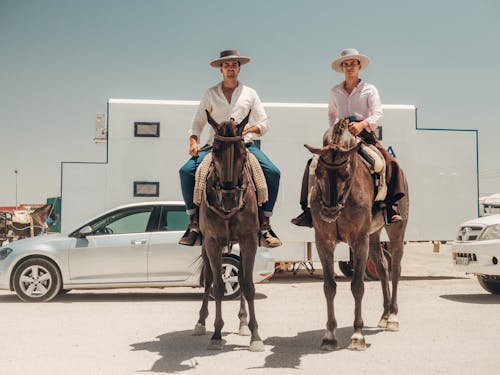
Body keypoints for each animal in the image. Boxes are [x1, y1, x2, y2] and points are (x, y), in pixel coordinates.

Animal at [191, 111, 266, 352]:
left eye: (243, 151)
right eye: (214, 150)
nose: (230, 198)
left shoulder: (249, 241)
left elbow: (248, 285)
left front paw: (255, 336)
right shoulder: (212, 242)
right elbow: (217, 286)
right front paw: (216, 334)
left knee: (241, 277)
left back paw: (242, 323)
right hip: (205, 245)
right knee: (207, 281)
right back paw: (200, 322)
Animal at [306, 119, 408, 352]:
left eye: (346, 173)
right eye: (319, 173)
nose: (329, 212)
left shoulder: (359, 240)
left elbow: (357, 286)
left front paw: (357, 335)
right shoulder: (323, 242)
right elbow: (329, 287)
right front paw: (329, 335)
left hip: (396, 231)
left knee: (395, 269)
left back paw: (393, 317)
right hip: (374, 235)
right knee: (382, 268)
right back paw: (384, 315)